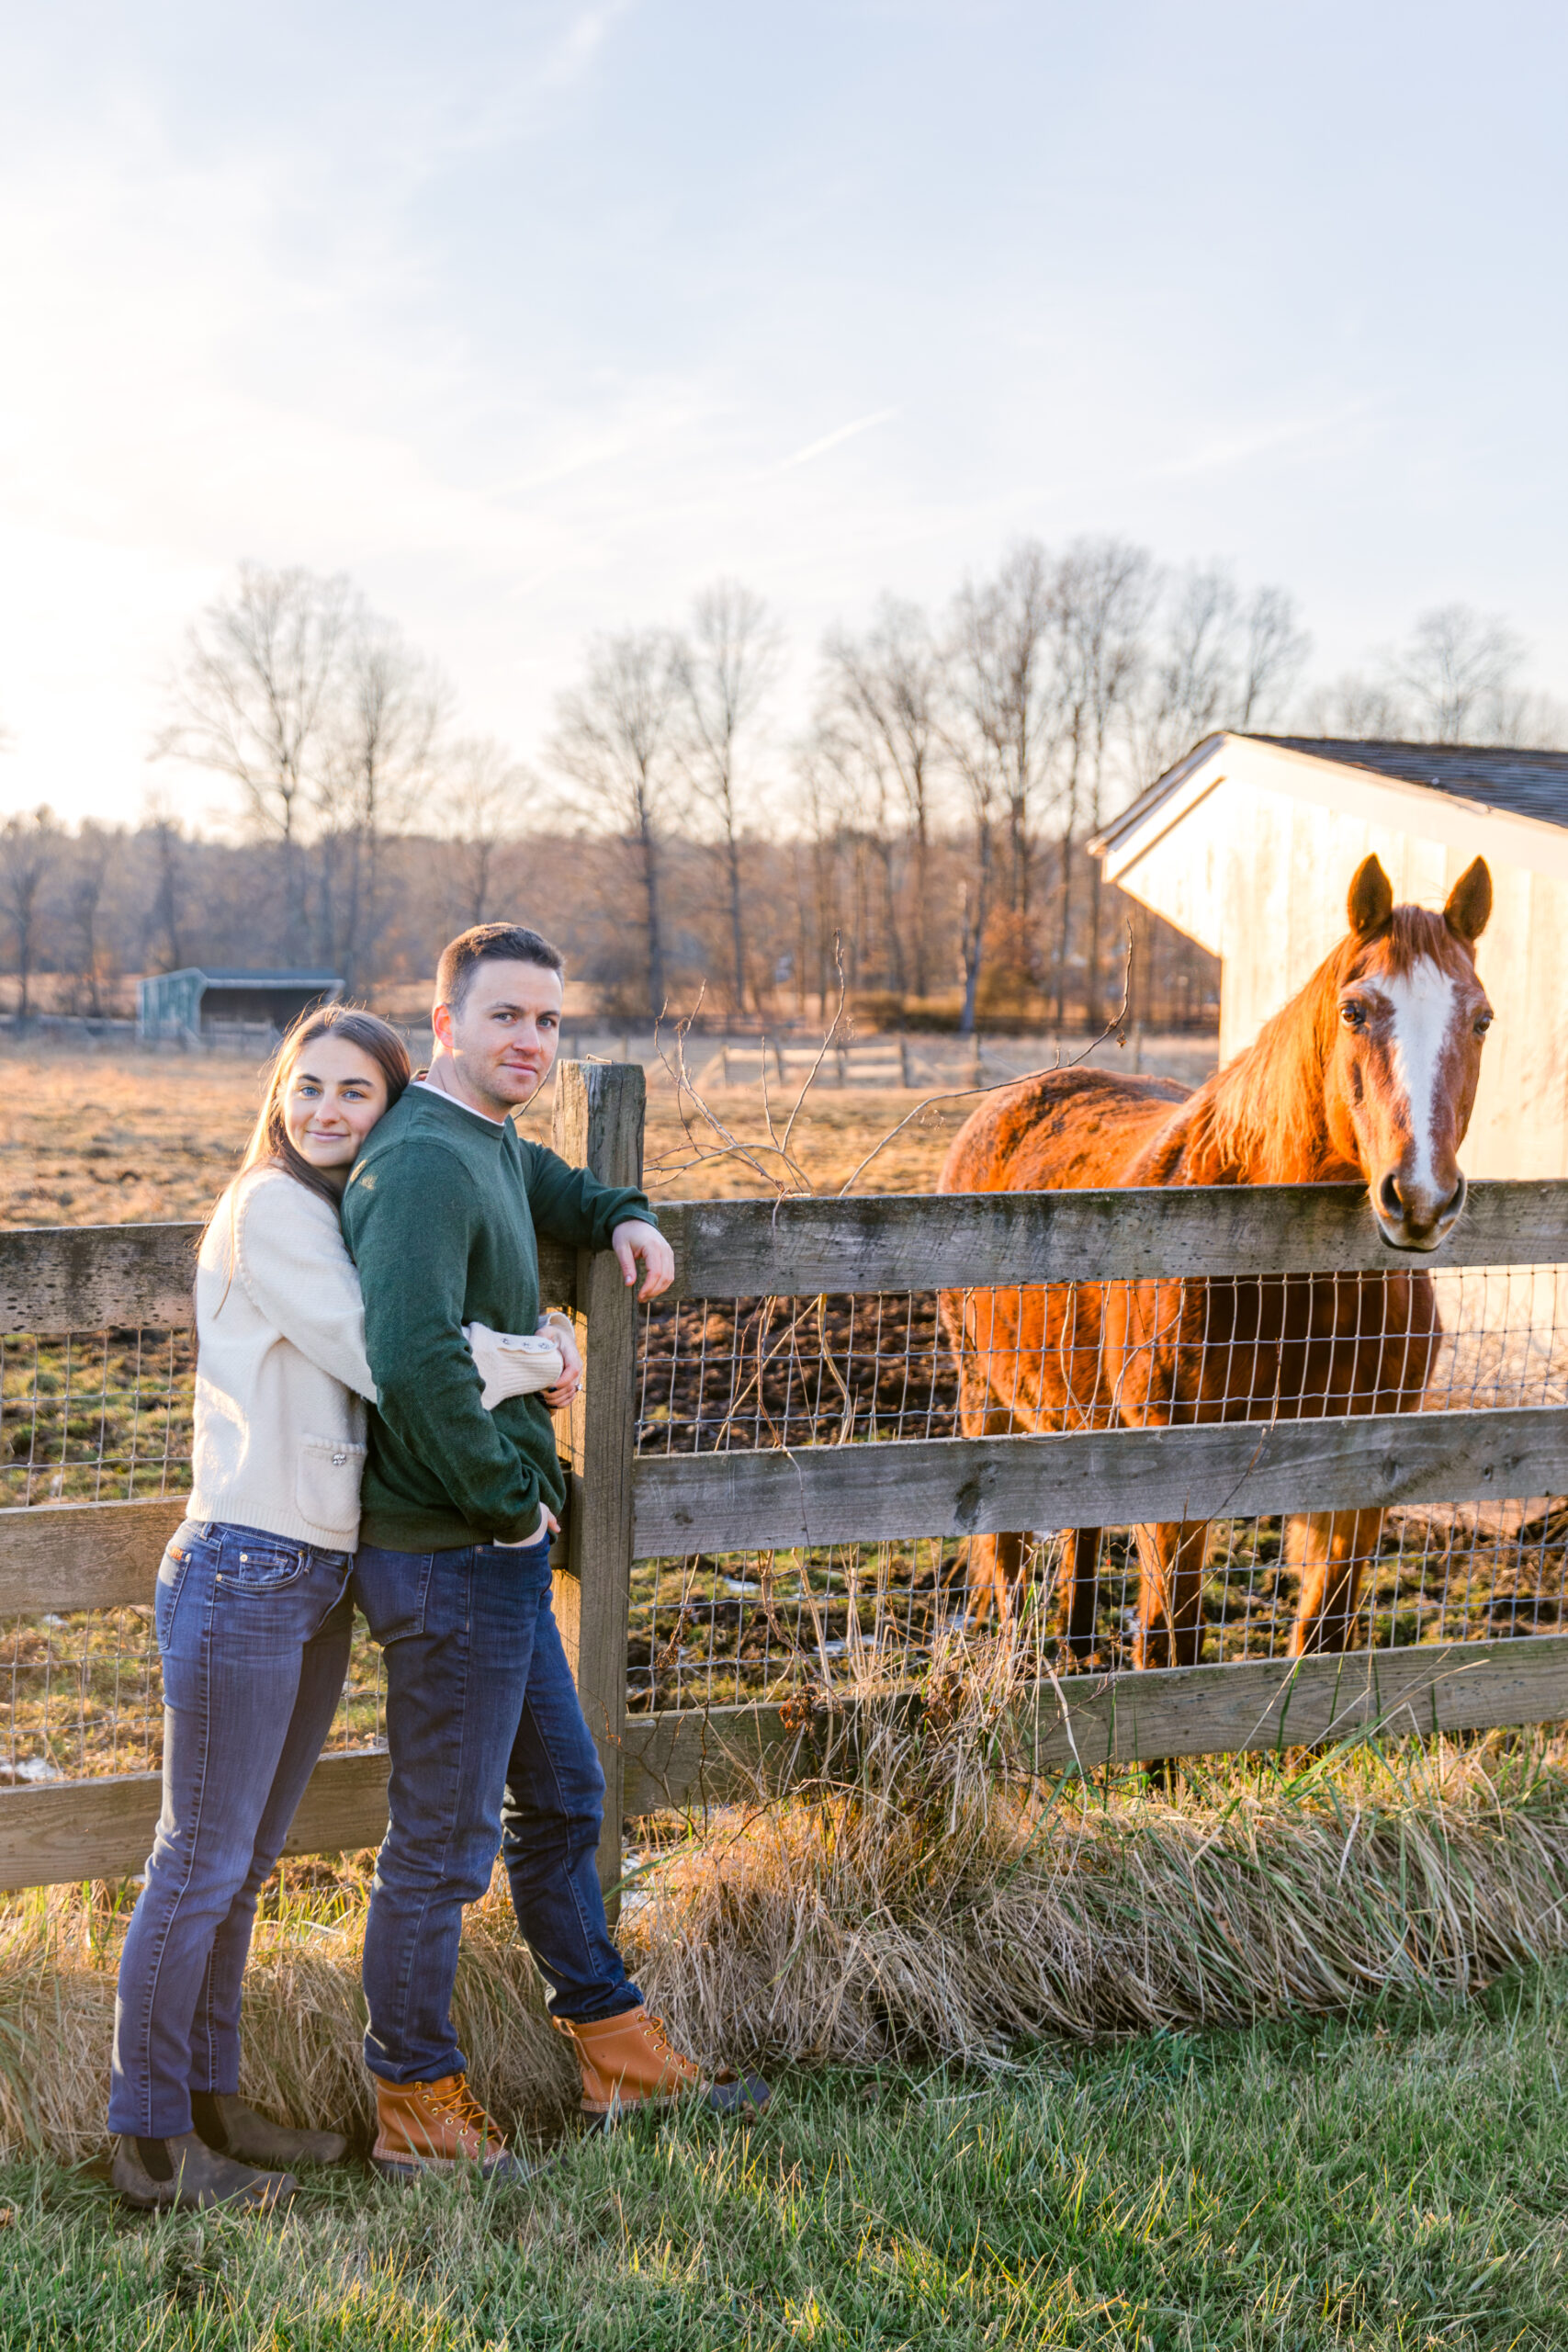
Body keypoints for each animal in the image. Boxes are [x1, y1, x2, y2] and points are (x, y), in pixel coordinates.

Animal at [940, 855, 1504, 1665]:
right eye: (1353, 1012)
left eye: (1480, 1019)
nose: (1420, 1197)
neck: (1293, 1292)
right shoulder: (1177, 1486)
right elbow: (1170, 1645)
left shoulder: (1362, 1475)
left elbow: (1324, 1635)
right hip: (985, 1396)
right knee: (1005, 1559)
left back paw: (1077, 1648)